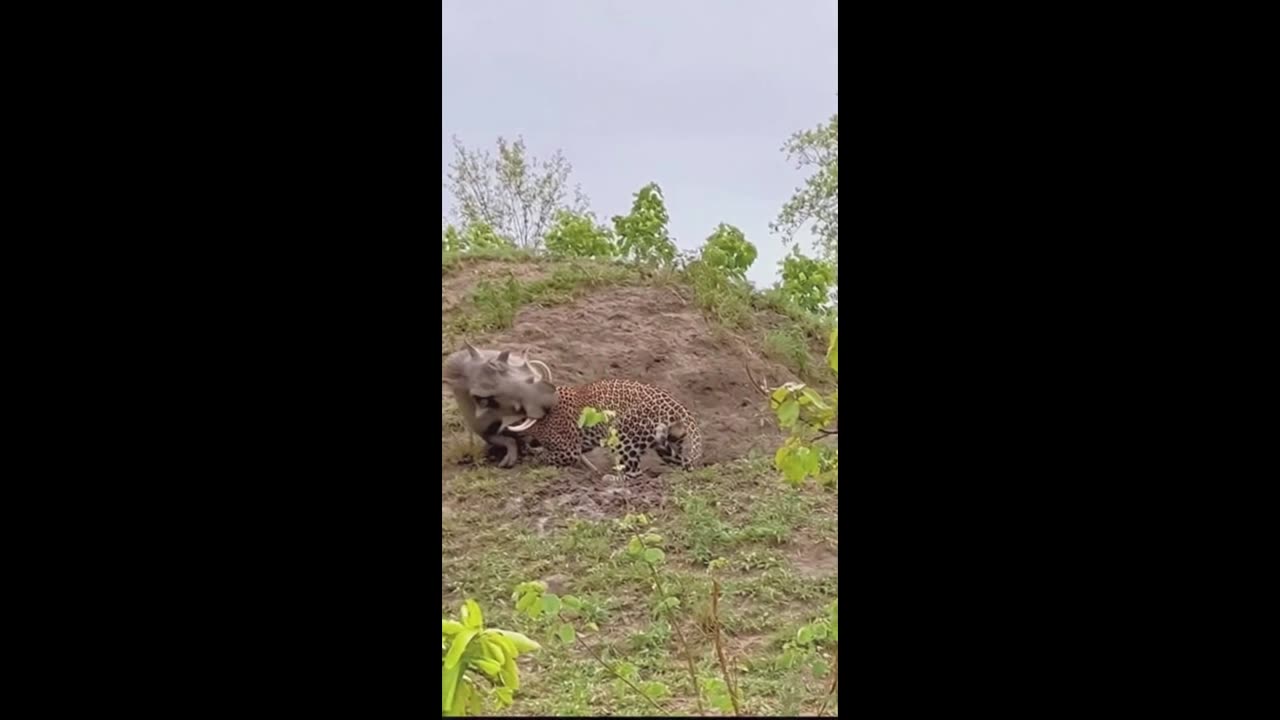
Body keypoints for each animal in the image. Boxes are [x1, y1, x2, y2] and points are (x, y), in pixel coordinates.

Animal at [504, 379, 703, 479]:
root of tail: (675, 404)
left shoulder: (568, 450)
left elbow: (545, 457)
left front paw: (531, 459)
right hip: (667, 443)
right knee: (681, 461)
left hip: (624, 437)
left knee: (633, 472)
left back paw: (611, 479)